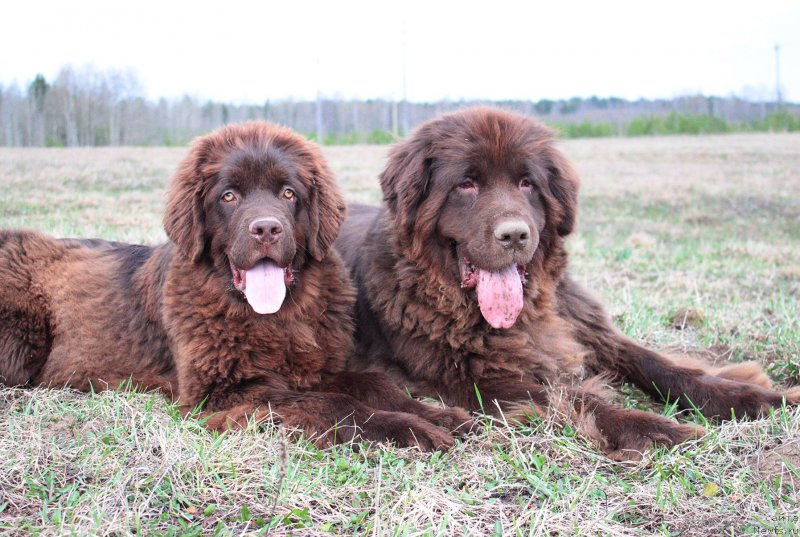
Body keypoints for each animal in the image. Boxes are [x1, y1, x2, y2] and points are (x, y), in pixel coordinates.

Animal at [1, 120, 468, 448]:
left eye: (288, 193)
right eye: (228, 196)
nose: (266, 229)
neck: (276, 318)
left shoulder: (314, 366)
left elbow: (374, 383)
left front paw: (438, 416)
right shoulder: (223, 393)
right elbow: (334, 403)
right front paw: (411, 430)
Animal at [338, 108, 800, 460]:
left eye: (527, 183)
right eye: (465, 184)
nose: (514, 235)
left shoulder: (588, 329)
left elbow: (662, 365)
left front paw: (761, 398)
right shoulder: (474, 379)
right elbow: (578, 396)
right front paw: (654, 426)